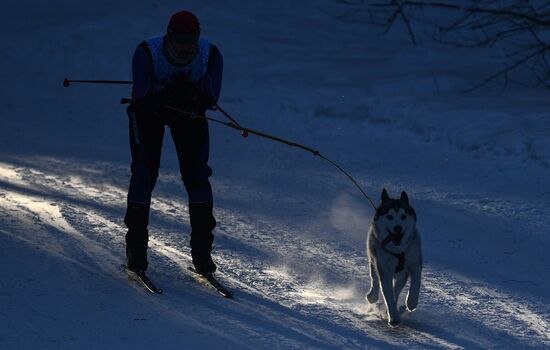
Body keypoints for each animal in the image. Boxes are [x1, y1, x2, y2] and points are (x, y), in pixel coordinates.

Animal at [368, 189, 424, 326]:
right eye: (390, 216)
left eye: (403, 216)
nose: (397, 227)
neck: (398, 251)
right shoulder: (384, 269)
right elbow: (387, 294)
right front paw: (393, 317)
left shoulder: (415, 262)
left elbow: (416, 283)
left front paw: (411, 302)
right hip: (373, 256)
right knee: (375, 278)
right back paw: (372, 296)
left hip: (401, 274)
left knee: (396, 289)